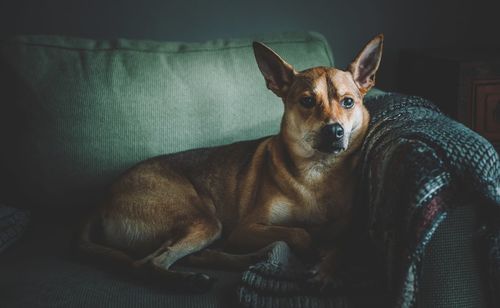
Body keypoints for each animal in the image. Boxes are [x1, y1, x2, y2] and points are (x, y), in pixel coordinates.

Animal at [77, 34, 382, 292]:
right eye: (307, 101)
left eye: (348, 102)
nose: (334, 131)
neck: (317, 172)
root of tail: (103, 200)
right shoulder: (246, 229)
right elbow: (299, 233)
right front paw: (312, 251)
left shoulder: (346, 230)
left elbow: (341, 246)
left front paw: (327, 271)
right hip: (206, 221)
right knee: (147, 263)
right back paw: (190, 280)